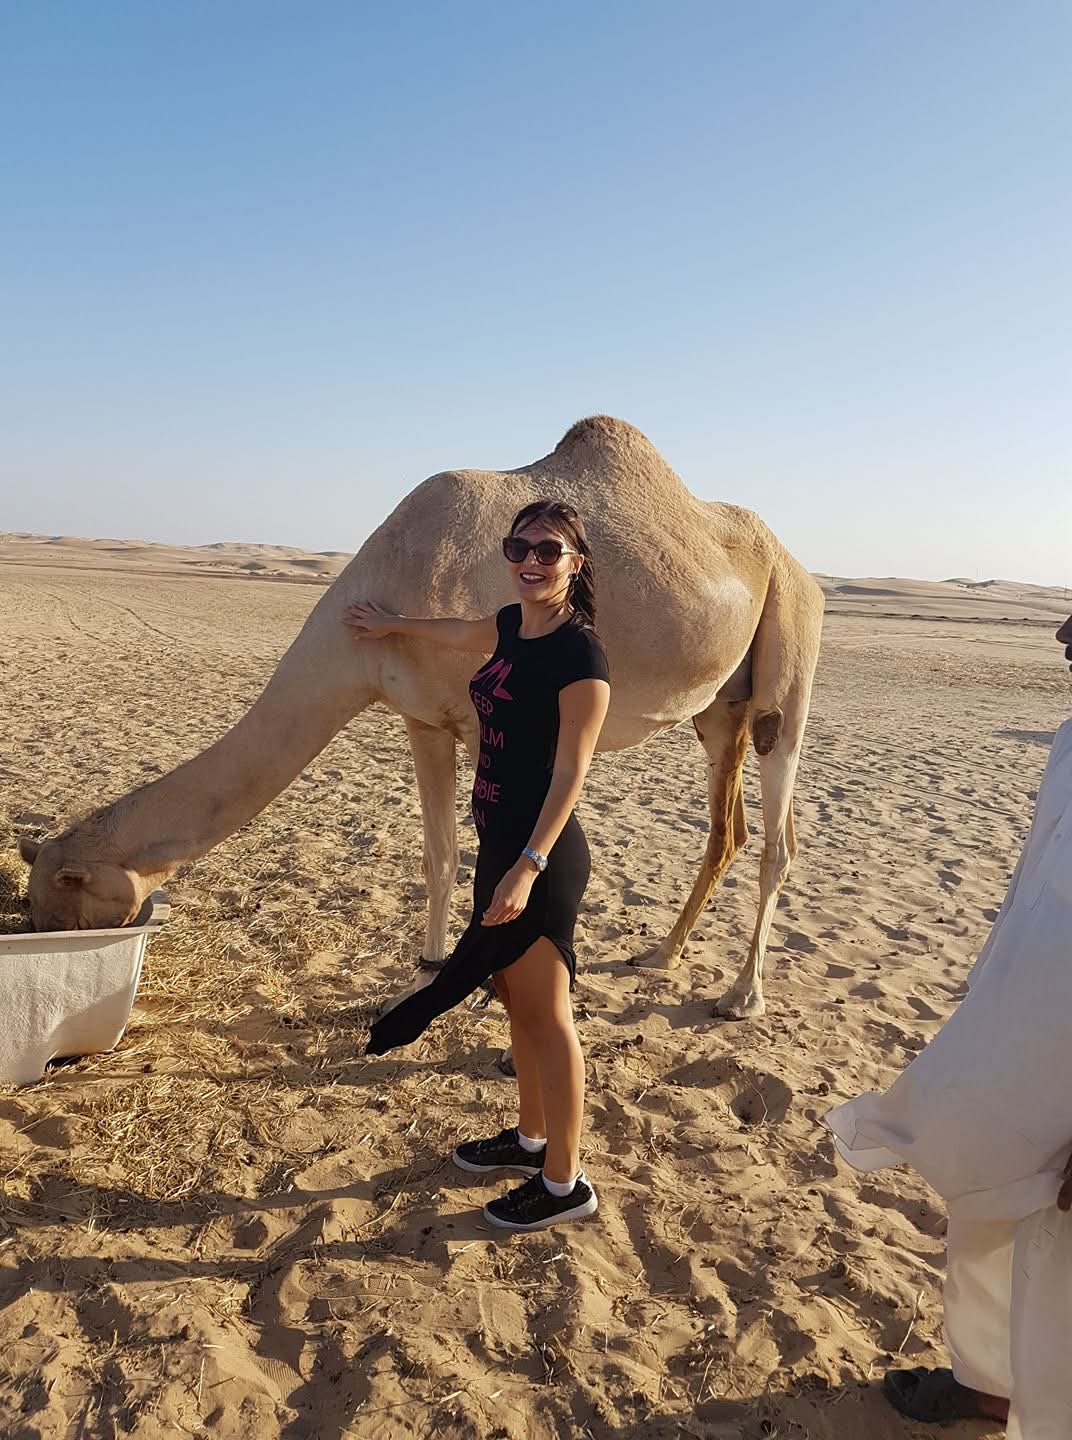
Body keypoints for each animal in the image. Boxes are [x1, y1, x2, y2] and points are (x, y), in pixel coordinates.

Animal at [19, 417, 823, 1020]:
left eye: (56, 907)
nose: (35, 940)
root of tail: (799, 564)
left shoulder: (474, 717)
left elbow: (487, 857)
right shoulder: (425, 719)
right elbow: (438, 856)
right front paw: (428, 969)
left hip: (790, 648)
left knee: (778, 831)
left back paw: (742, 997)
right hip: (720, 704)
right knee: (727, 824)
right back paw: (660, 952)